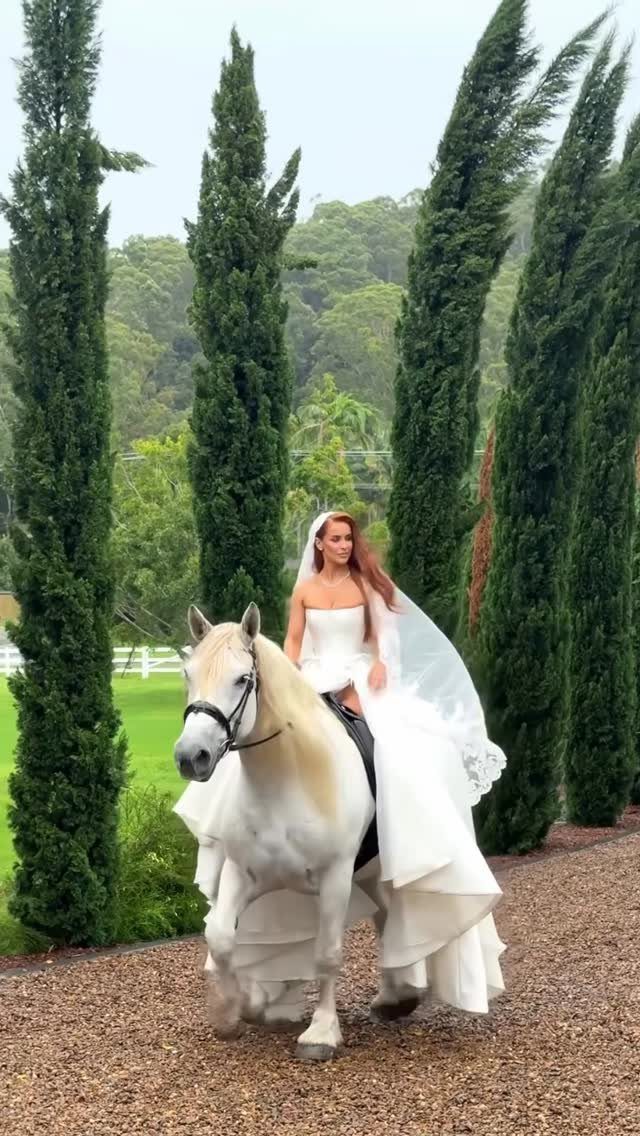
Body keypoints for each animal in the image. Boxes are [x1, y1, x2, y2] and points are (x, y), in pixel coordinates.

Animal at [173, 602, 419, 1061]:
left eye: (243, 679)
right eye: (187, 673)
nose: (190, 756)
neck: (286, 776)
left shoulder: (335, 879)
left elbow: (326, 954)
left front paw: (321, 1033)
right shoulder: (243, 873)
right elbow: (221, 938)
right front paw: (241, 1008)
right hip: (371, 874)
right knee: (385, 916)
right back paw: (397, 995)